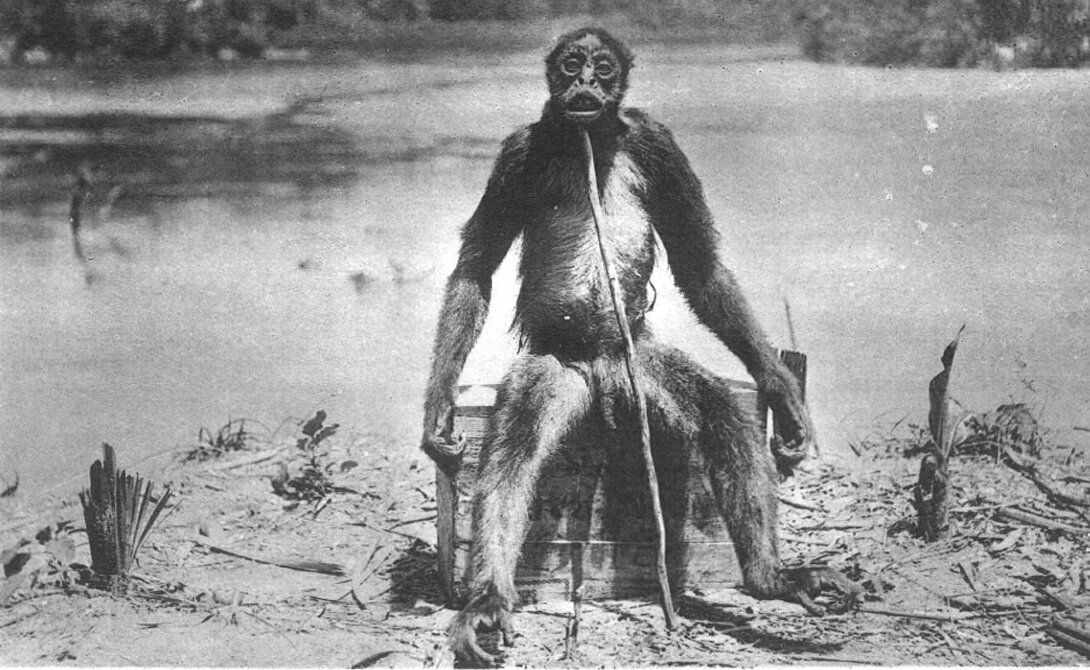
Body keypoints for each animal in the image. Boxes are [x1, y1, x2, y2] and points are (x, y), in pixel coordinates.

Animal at [421, 27, 861, 665]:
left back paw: (769, 578)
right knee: (515, 449)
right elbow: (475, 267)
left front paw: (780, 389)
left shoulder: (657, 143)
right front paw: (437, 409)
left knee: (721, 415)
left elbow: (699, 265)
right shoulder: (518, 152)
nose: (584, 84)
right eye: (571, 66)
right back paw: (488, 600)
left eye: (602, 70)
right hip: (557, 364)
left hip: (641, 360)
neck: (589, 140)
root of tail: (605, 368)